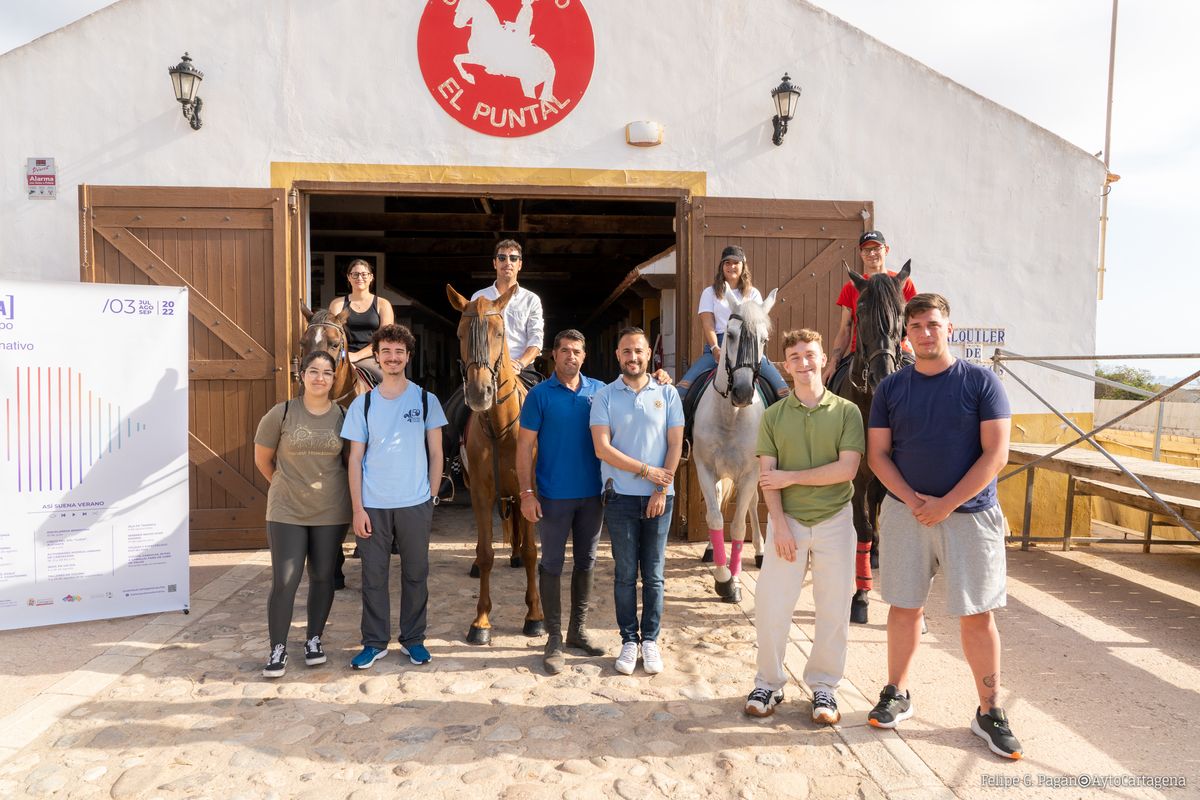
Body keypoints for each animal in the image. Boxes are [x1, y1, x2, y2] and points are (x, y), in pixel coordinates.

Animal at [448, 281, 547, 642]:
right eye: (461, 333)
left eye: (500, 331)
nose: (480, 393)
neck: (501, 428)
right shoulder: (480, 492)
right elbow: (486, 552)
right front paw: (481, 622)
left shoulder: (531, 491)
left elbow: (532, 552)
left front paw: (534, 617)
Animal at [691, 284, 772, 604]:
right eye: (732, 334)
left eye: (764, 339)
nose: (742, 392)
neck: (731, 415)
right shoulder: (704, 469)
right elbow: (714, 518)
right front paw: (722, 576)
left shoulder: (750, 473)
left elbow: (738, 524)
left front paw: (733, 582)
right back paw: (712, 551)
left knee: (751, 507)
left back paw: (760, 552)